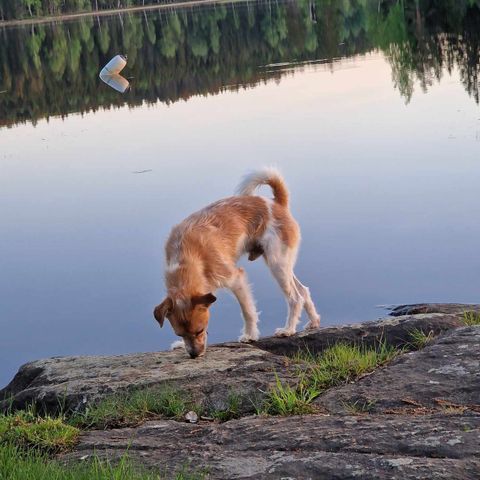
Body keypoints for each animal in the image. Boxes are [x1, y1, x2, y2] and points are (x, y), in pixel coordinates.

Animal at [153, 167, 318, 358]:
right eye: (179, 334)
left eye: (200, 330)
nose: (194, 354)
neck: (185, 258)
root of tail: (276, 204)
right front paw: (180, 345)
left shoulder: (236, 278)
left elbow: (247, 311)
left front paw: (249, 335)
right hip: (283, 264)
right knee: (304, 290)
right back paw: (314, 322)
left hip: (277, 263)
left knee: (295, 297)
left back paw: (288, 330)